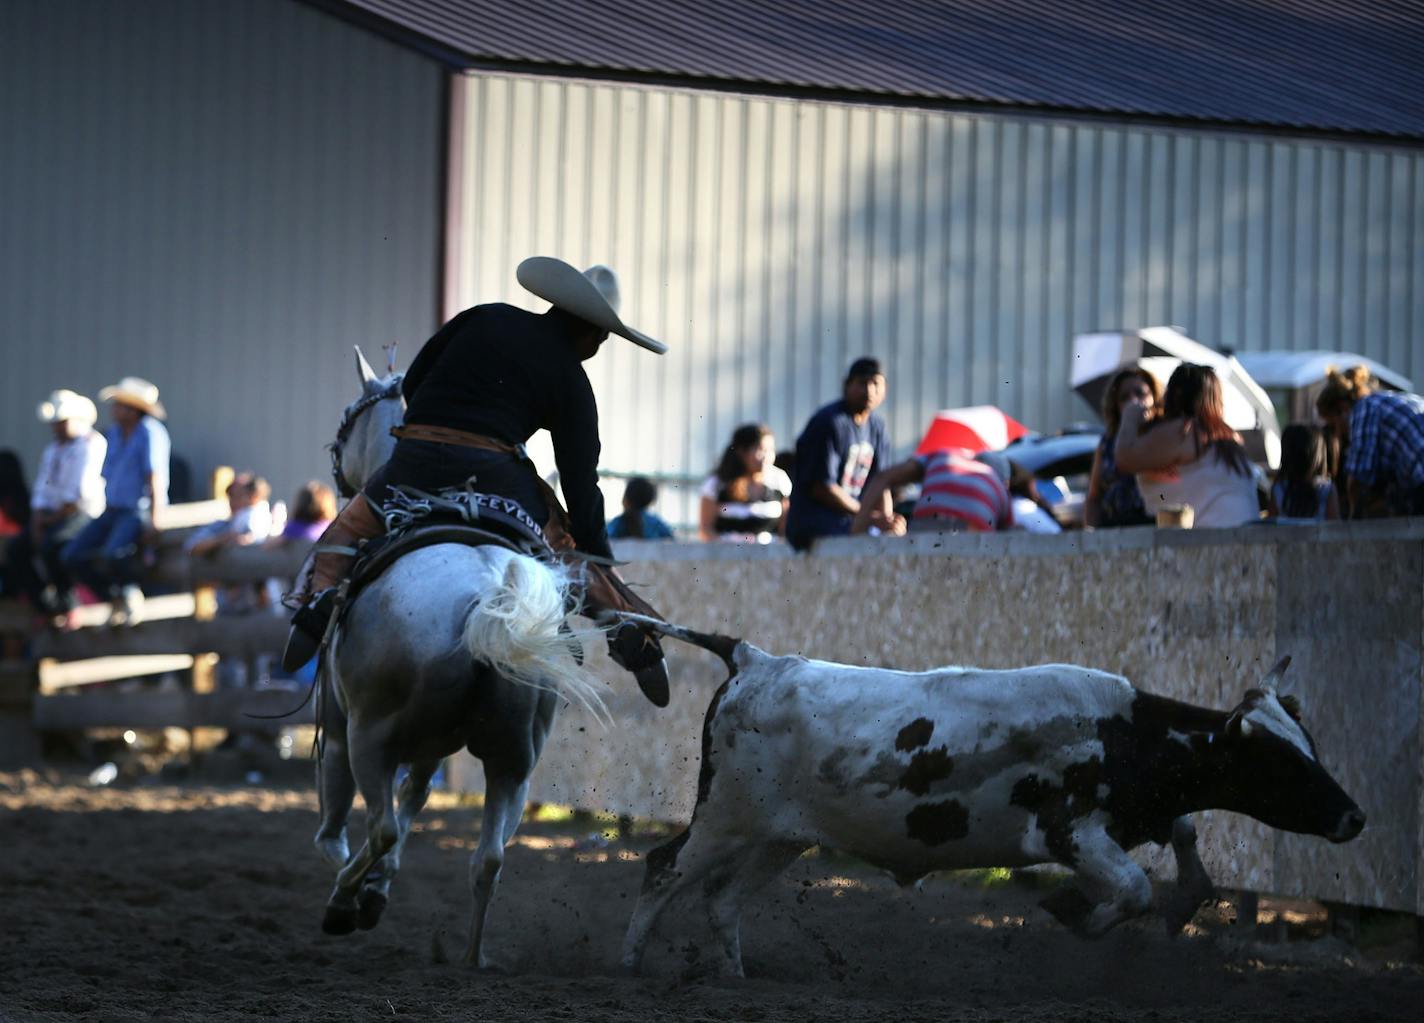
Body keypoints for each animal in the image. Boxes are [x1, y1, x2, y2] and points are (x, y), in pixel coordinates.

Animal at [314, 350, 603, 968]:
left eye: (344, 430)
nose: (336, 478)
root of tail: (486, 594)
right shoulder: (430, 748)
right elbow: (415, 801)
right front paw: (378, 889)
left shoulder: (338, 724)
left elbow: (339, 830)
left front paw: (361, 894)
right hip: (514, 759)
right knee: (488, 858)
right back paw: (472, 957)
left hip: (370, 737)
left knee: (378, 827)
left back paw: (342, 903)